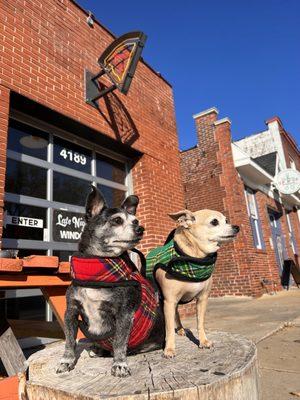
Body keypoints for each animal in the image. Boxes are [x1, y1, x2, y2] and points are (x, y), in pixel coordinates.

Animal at [56, 188, 164, 378]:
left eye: (135, 221)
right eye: (117, 220)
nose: (140, 228)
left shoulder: (124, 314)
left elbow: (119, 342)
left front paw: (120, 364)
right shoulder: (71, 312)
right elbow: (69, 341)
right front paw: (66, 361)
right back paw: (98, 349)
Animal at [155, 209, 239, 360]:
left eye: (226, 220)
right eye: (214, 222)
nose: (237, 227)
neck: (194, 259)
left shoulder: (202, 299)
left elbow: (200, 322)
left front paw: (203, 341)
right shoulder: (169, 301)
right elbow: (169, 328)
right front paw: (169, 349)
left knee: (177, 313)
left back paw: (181, 329)